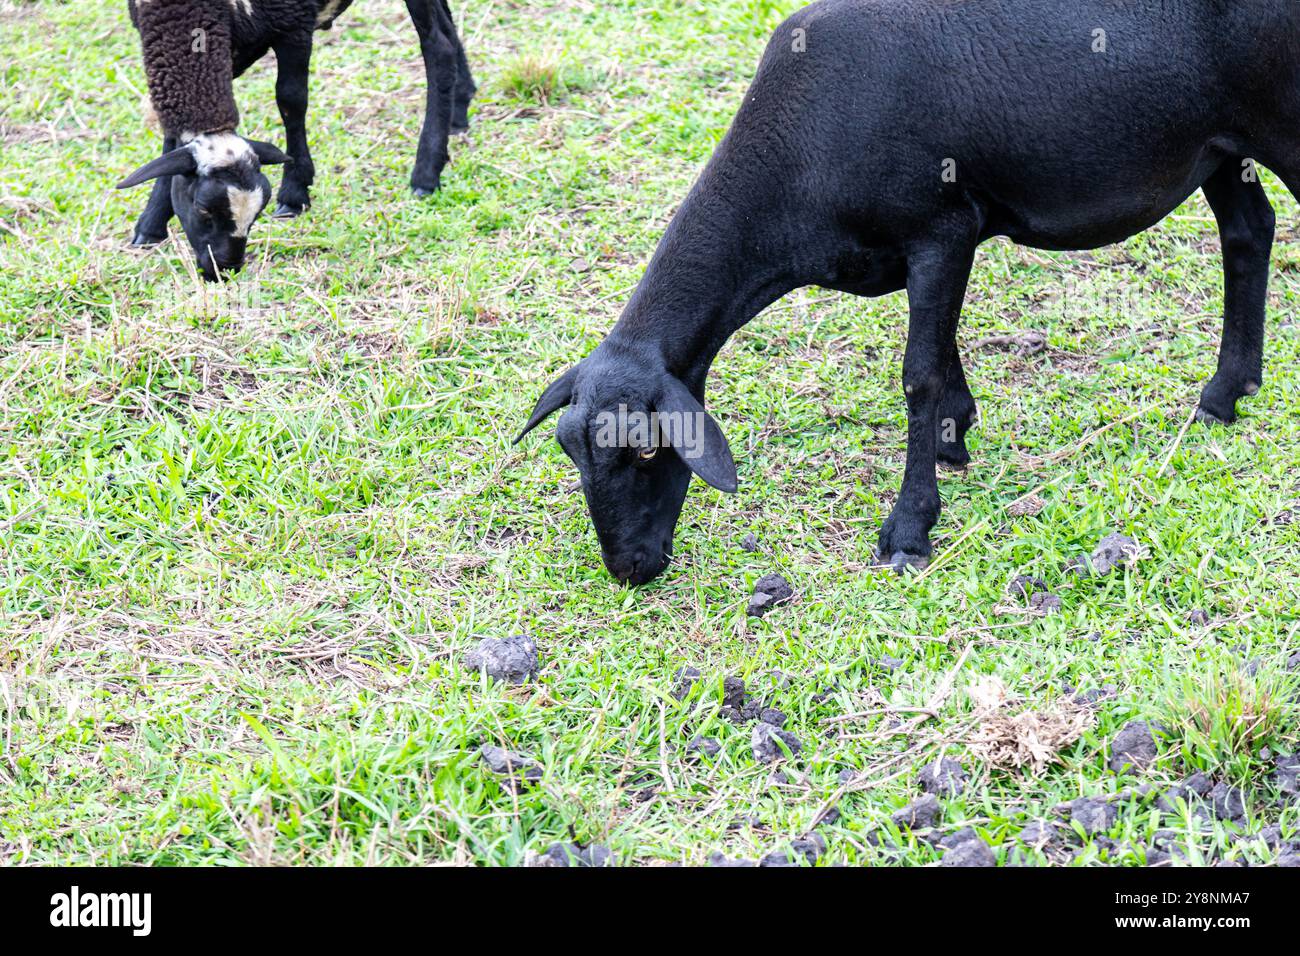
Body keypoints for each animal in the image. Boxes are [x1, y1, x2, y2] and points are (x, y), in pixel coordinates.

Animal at [119, 0, 475, 280]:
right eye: (202, 209)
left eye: (258, 212)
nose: (225, 269)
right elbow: (172, 141)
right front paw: (151, 224)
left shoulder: (293, 23)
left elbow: (291, 100)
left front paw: (294, 190)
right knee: (447, 24)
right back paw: (458, 112)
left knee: (437, 46)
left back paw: (426, 173)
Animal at [517, 0, 1300, 582]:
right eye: (571, 453)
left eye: (648, 453)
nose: (628, 569)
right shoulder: (940, 244)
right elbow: (939, 356)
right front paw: (958, 433)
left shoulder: (941, 227)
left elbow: (916, 373)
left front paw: (908, 530)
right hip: (1219, 146)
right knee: (1248, 232)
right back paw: (1224, 394)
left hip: (1277, 118)